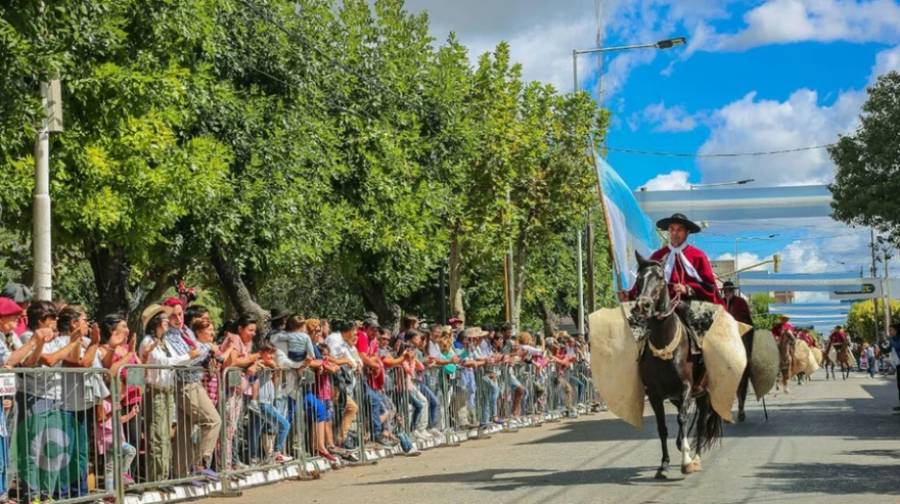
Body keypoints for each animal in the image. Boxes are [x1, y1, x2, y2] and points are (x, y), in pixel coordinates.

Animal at [632, 252, 724, 480]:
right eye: (639, 279)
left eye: (660, 278)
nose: (642, 305)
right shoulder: (655, 394)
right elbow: (662, 428)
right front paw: (663, 465)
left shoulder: (686, 387)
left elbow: (683, 420)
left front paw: (686, 461)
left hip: (704, 394)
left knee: (700, 423)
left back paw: (696, 457)